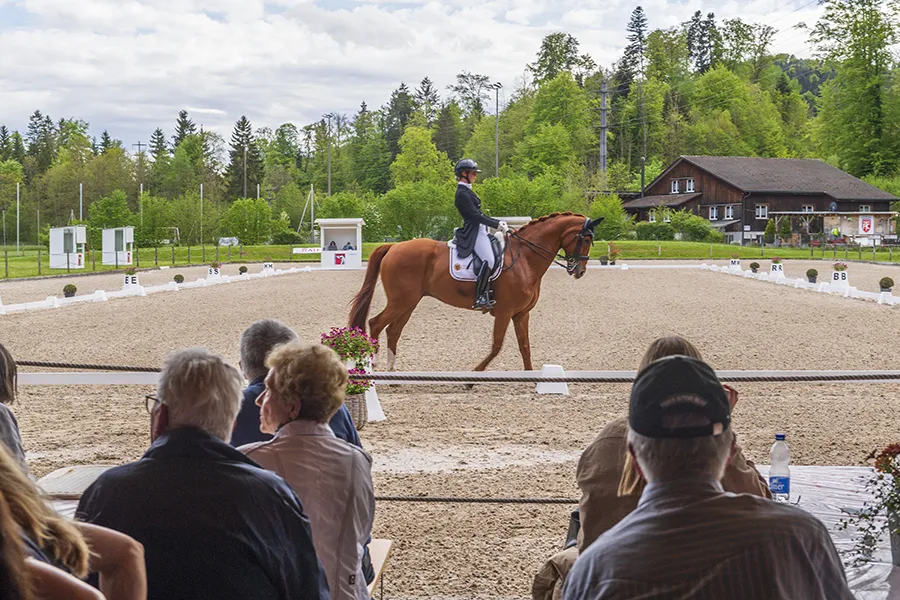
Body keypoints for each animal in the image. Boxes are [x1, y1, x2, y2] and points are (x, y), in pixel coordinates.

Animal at [348, 211, 600, 370]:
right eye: (585, 239)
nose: (579, 270)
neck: (525, 259)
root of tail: (394, 246)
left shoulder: (521, 314)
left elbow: (525, 347)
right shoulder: (505, 312)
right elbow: (497, 347)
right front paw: (472, 376)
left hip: (409, 302)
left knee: (393, 331)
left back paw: (392, 370)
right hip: (400, 301)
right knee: (376, 324)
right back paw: (375, 365)